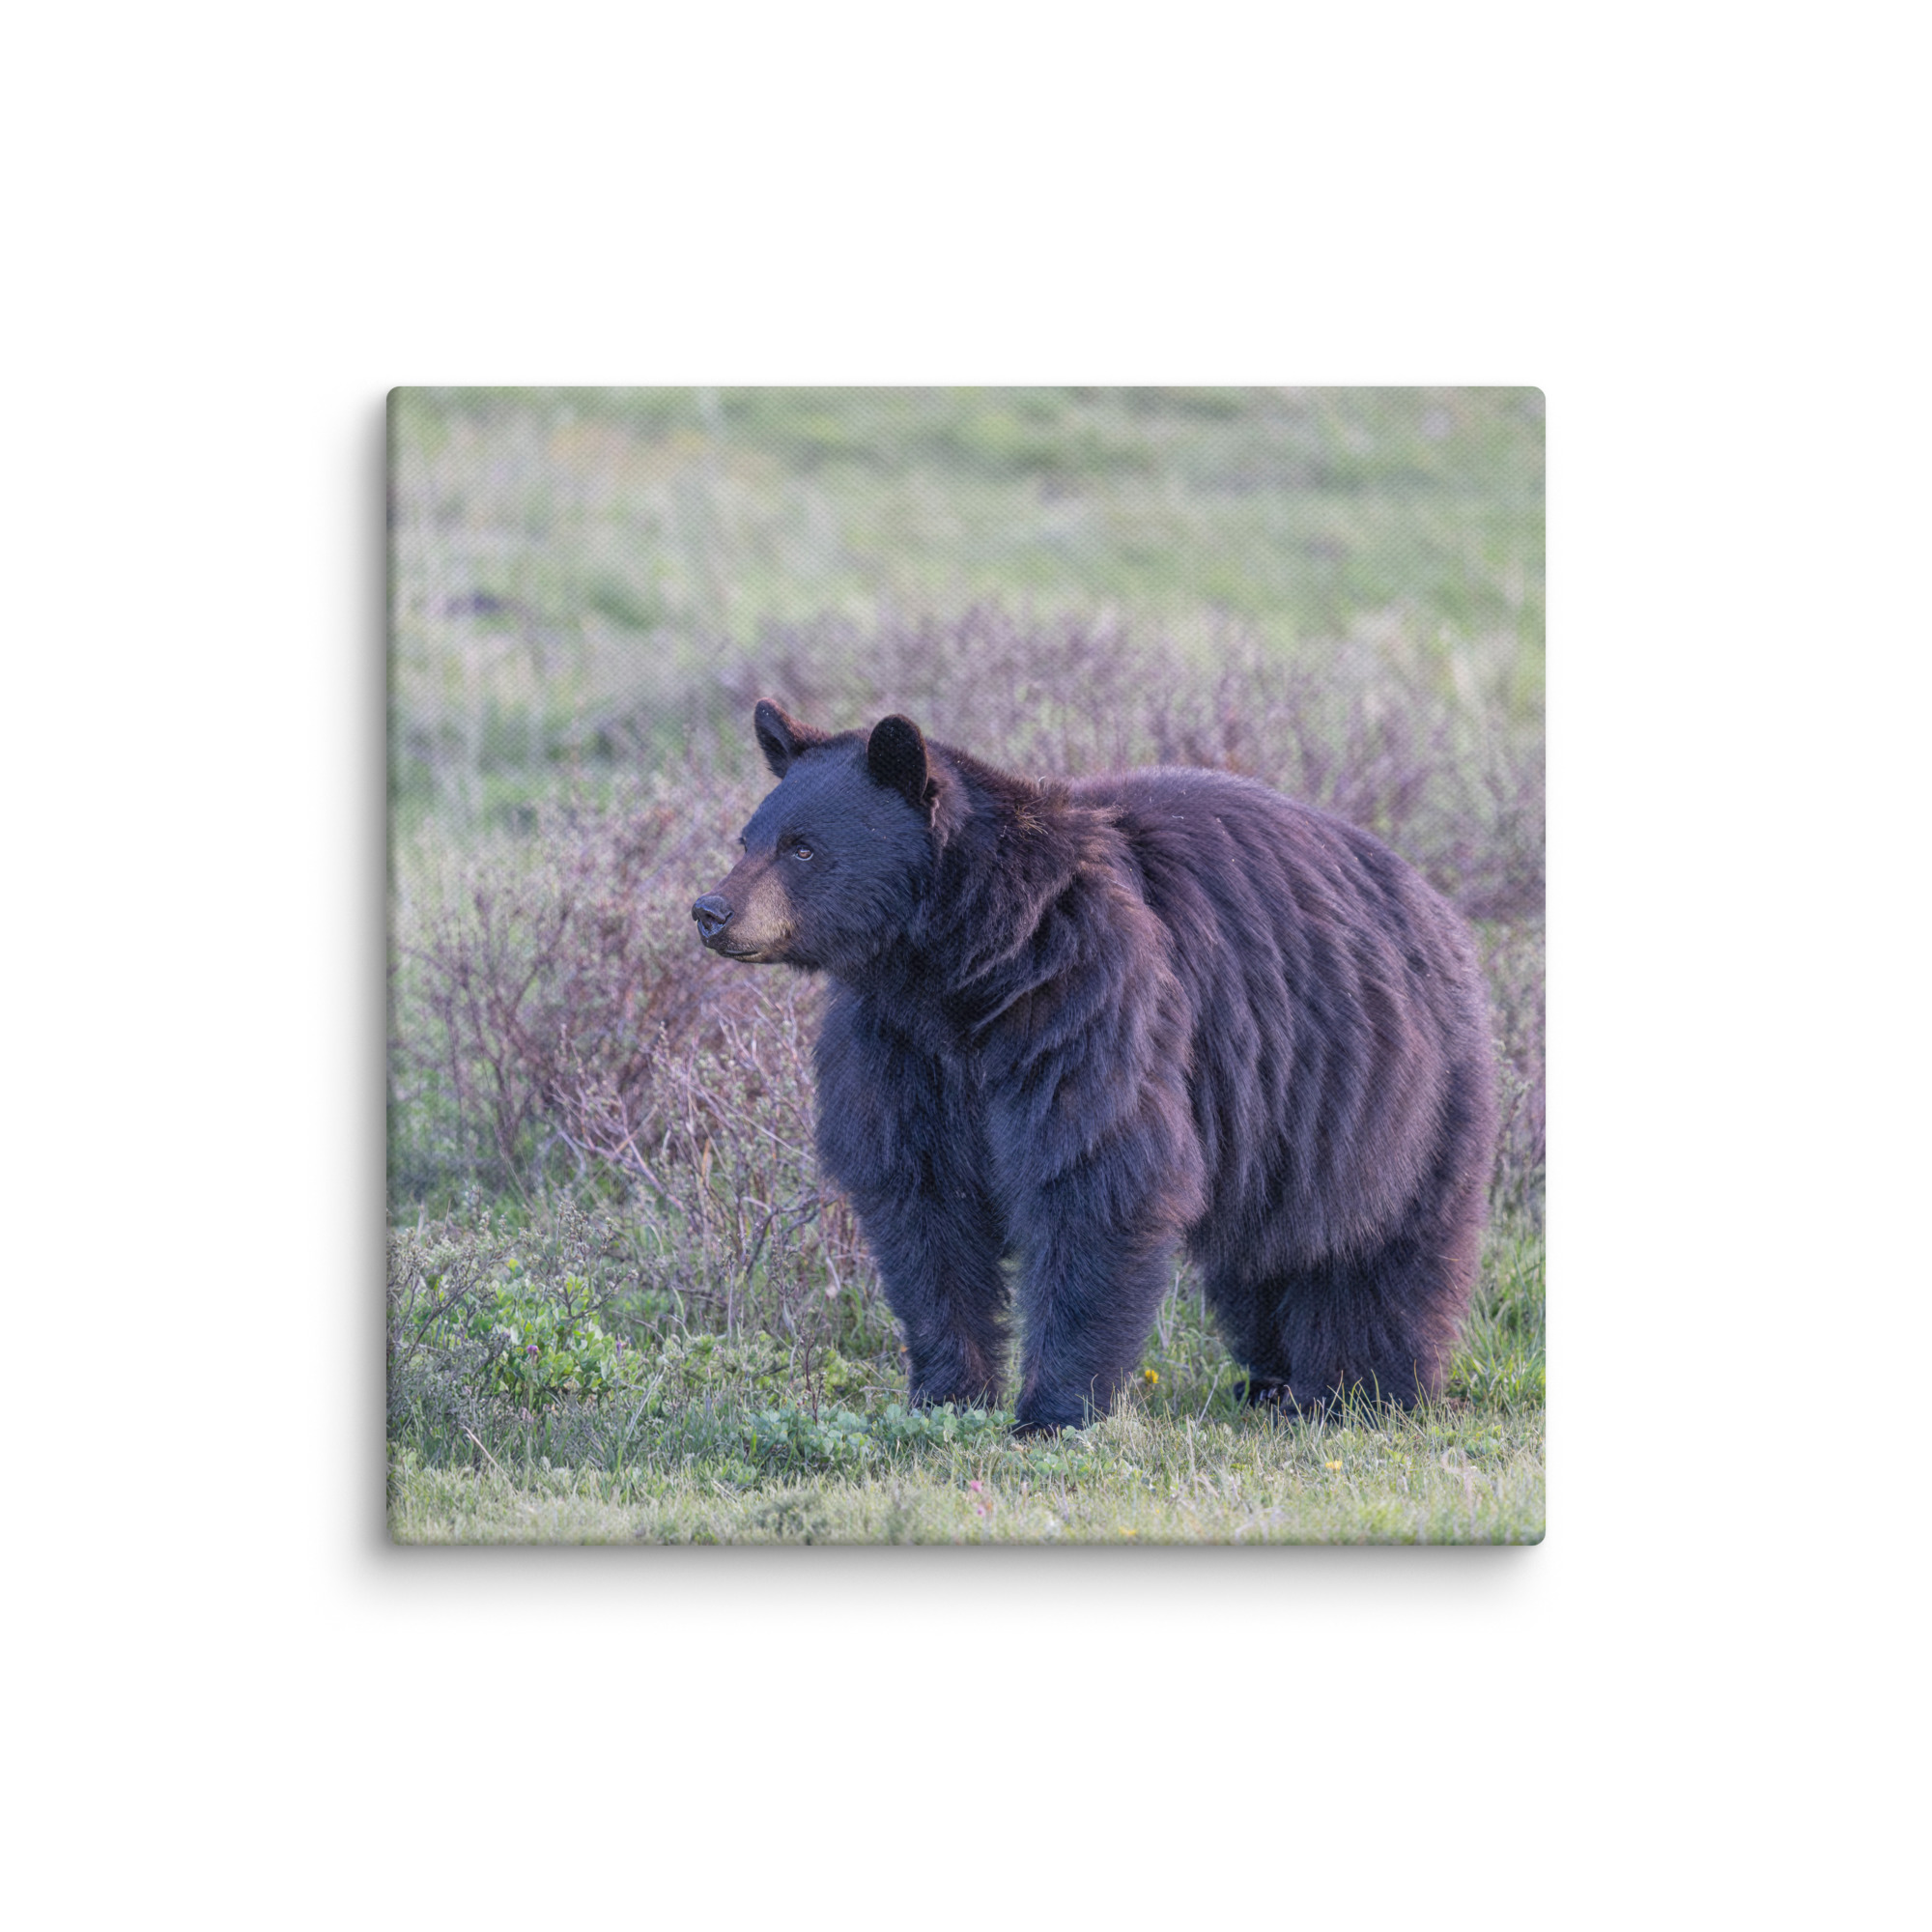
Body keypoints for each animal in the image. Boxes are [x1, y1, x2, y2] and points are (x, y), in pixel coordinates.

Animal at [691, 699, 1497, 1435]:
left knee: (1378, 1248)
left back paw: (1359, 1389)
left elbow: (1094, 1177)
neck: (960, 967)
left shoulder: (1085, 1001)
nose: (711, 910)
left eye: (802, 848)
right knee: (1266, 1256)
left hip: (1386, 1089)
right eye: (748, 837)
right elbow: (922, 1203)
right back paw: (1271, 1380)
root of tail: (1433, 901)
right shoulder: (900, 1049)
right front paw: (946, 1395)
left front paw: (1052, 1411)